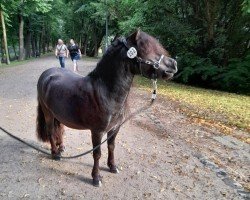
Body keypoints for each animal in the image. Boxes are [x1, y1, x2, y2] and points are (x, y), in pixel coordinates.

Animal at [36, 30, 178, 187]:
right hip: (48, 113)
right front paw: (96, 177)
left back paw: (61, 148)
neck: (105, 93)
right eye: (146, 48)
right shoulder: (97, 131)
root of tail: (47, 74)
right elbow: (97, 153)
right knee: (51, 131)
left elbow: (111, 147)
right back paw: (55, 154)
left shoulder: (115, 128)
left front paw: (112, 167)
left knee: (59, 129)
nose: (173, 64)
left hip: (58, 114)